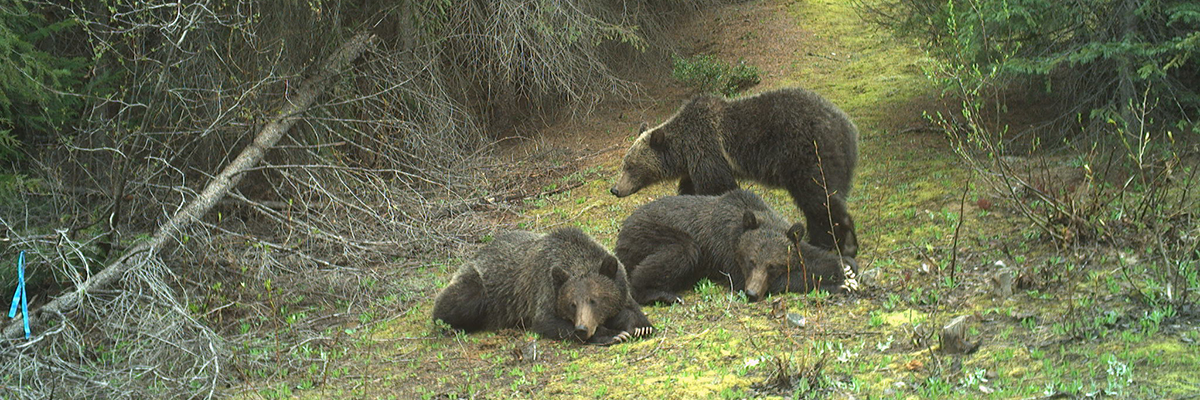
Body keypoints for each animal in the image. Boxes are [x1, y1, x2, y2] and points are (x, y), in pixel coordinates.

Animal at [434, 227, 652, 343]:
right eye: (572, 304)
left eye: (594, 300)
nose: (582, 328)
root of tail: (476, 254)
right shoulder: (544, 288)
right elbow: (547, 321)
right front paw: (614, 335)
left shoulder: (620, 284)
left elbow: (631, 309)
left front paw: (640, 327)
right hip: (481, 286)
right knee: (463, 299)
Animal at [614, 87, 859, 255]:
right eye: (624, 164)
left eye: (631, 166)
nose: (615, 189)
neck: (683, 150)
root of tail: (846, 126)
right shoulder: (695, 166)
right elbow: (691, 191)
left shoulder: (709, 150)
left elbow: (718, 187)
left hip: (807, 154)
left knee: (819, 196)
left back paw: (844, 243)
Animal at [614, 188, 859, 303]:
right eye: (751, 261)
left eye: (773, 265)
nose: (752, 293)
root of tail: (624, 227)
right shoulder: (725, 252)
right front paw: (839, 284)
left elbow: (808, 252)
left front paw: (846, 266)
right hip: (647, 235)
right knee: (683, 250)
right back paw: (663, 294)